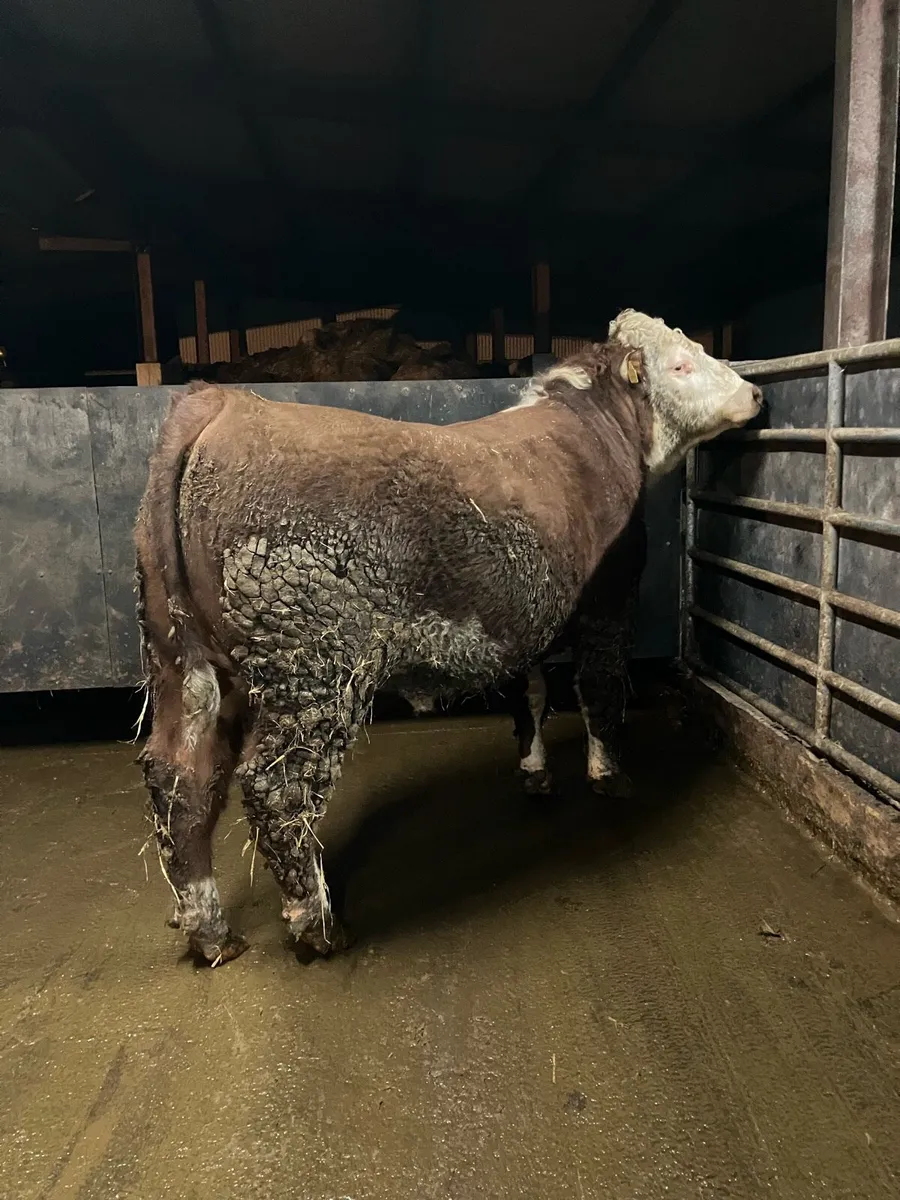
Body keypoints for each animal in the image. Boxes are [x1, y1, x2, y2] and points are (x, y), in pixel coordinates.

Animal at [135, 310, 760, 964]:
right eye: (682, 363)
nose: (754, 393)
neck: (592, 431)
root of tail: (225, 402)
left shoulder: (525, 618)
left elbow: (531, 695)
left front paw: (535, 771)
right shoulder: (609, 603)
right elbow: (601, 692)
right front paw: (609, 777)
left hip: (182, 657)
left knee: (181, 777)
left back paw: (211, 931)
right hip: (312, 667)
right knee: (276, 788)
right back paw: (318, 925)